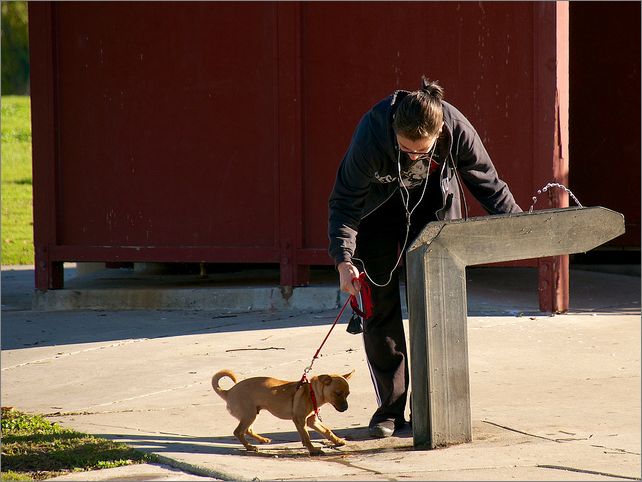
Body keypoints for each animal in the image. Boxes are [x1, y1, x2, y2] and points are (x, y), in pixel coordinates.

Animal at [211, 370, 352, 454]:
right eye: (337, 393)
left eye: (347, 394)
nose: (345, 408)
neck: (312, 392)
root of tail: (228, 392)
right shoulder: (300, 420)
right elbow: (306, 437)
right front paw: (312, 449)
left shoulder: (312, 421)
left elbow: (326, 431)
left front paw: (337, 441)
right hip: (249, 415)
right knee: (238, 431)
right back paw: (249, 447)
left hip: (252, 414)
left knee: (247, 430)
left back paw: (262, 440)